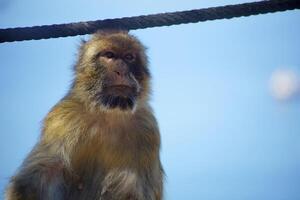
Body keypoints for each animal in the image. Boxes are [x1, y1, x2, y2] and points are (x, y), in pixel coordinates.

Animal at [5, 30, 164, 200]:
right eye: (109, 55)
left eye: (129, 57)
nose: (121, 71)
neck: (108, 114)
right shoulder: (63, 119)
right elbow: (33, 181)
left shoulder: (147, 130)